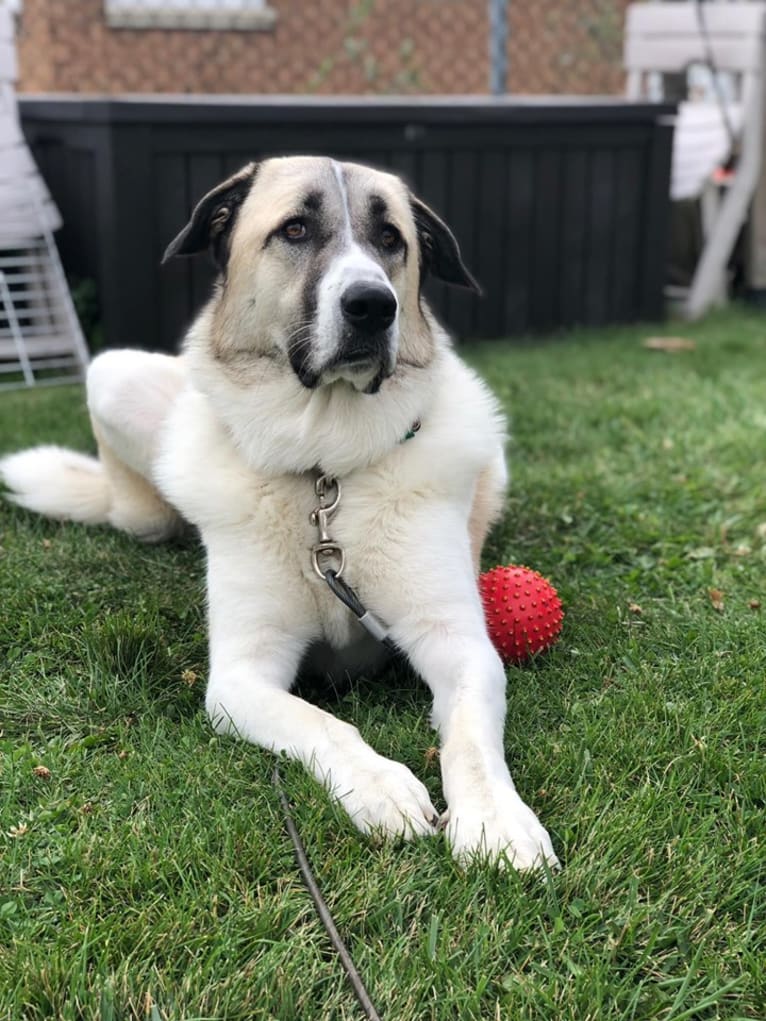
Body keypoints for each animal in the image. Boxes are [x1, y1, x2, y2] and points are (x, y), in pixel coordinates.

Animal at [0, 157, 559, 869]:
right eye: (295, 228)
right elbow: (321, 721)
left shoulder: (458, 645)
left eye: (391, 239)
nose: (374, 305)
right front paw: (379, 785)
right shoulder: (239, 678)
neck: (324, 470)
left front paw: (495, 818)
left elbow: (470, 735)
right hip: (115, 381)